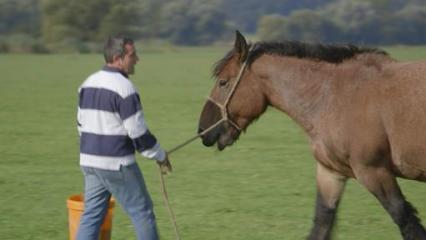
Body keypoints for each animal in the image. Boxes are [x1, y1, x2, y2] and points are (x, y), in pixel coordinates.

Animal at [198, 31, 426, 239]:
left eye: (223, 82)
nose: (202, 130)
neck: (334, 94)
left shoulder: (374, 172)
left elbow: (406, 221)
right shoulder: (331, 173)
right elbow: (321, 224)